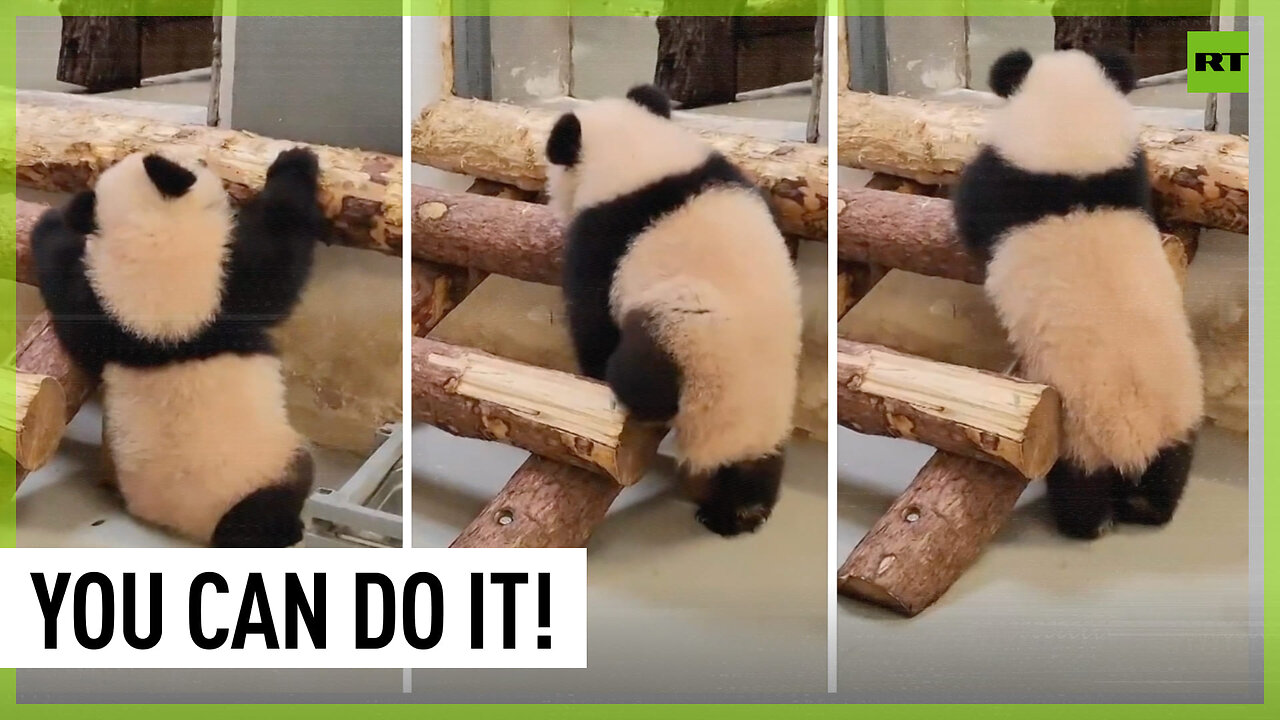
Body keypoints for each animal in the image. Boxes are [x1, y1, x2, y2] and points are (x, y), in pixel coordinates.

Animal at [31, 148, 325, 545]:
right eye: (197, 162)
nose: (204, 156)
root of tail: (193, 526)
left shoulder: (107, 317)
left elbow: (72, 304)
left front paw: (52, 226)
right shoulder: (228, 285)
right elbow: (278, 260)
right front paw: (296, 162)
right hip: (272, 466)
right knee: (270, 505)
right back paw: (282, 528)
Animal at [542, 82, 798, 532]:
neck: (638, 153)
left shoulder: (603, 237)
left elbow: (592, 316)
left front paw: (591, 371)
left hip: (679, 340)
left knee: (642, 372)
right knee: (760, 464)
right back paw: (741, 509)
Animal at [957, 49, 1203, 538]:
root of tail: (1136, 442)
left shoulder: (1007, 180)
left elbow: (971, 208)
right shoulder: (1128, 173)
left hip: (1079, 438)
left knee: (1079, 491)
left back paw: (1090, 522)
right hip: (1178, 413)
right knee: (1170, 471)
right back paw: (1151, 508)